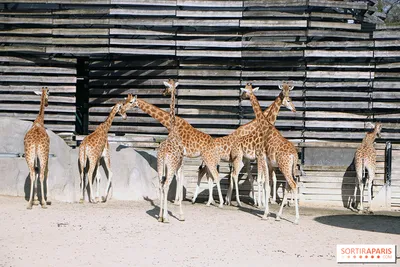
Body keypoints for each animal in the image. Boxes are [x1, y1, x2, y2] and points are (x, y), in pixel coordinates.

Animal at [239, 85, 298, 225]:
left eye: (244, 91)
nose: (241, 96)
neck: (266, 125)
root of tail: (294, 154)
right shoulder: (266, 161)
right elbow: (267, 182)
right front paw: (266, 208)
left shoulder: (263, 158)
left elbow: (266, 183)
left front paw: (265, 212)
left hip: (284, 167)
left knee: (292, 185)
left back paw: (294, 219)